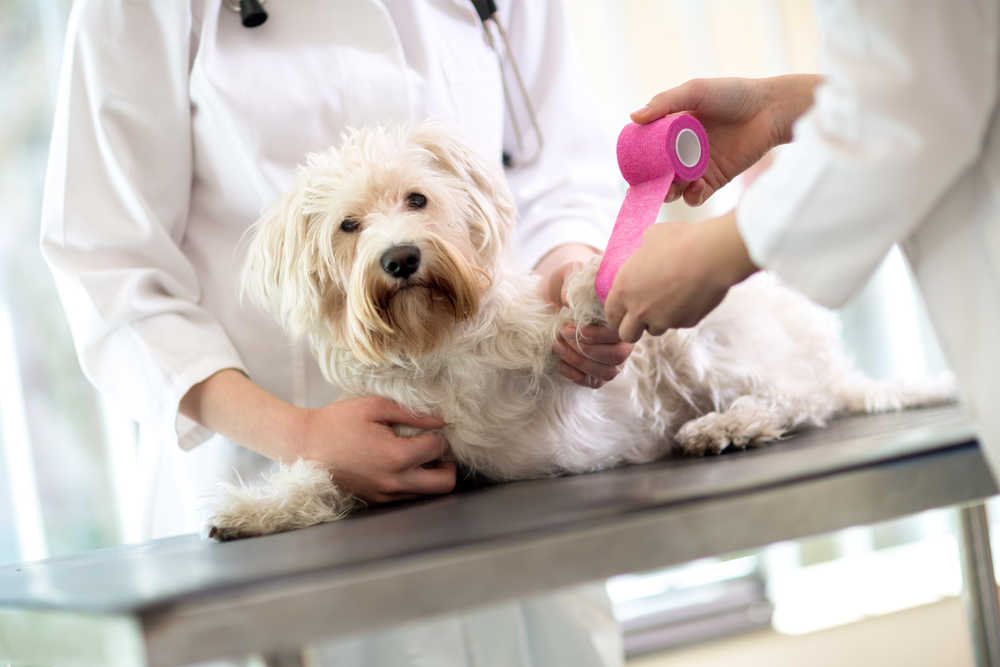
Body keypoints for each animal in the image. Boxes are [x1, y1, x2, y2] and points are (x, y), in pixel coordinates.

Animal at [205, 122, 952, 540]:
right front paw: (253, 510)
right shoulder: (408, 450)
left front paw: (595, 284)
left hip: (702, 345)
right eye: (348, 225)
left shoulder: (559, 370)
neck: (437, 341)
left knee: (799, 400)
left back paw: (725, 426)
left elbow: (567, 318)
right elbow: (323, 476)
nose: (401, 258)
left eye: (417, 199)